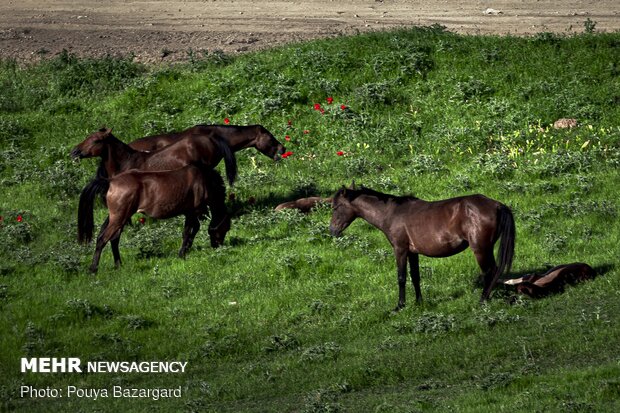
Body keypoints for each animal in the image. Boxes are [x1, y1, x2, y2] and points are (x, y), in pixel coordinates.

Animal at [81, 163, 229, 274]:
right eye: (226, 229)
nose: (217, 246)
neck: (203, 179)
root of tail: (110, 181)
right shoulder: (192, 211)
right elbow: (188, 232)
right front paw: (182, 253)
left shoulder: (190, 213)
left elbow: (194, 229)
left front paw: (187, 248)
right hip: (119, 218)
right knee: (102, 239)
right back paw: (93, 269)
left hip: (118, 217)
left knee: (113, 239)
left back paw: (118, 265)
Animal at [326, 184, 516, 308]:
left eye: (335, 207)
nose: (332, 231)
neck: (392, 214)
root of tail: (497, 205)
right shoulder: (412, 253)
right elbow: (415, 276)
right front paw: (419, 302)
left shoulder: (400, 250)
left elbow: (401, 277)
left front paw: (400, 306)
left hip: (481, 249)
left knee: (490, 271)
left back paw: (483, 300)